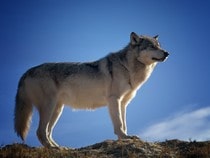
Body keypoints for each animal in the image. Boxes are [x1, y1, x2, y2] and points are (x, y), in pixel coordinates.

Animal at [13, 32, 169, 148]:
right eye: (151, 47)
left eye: (159, 46)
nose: (167, 53)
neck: (127, 67)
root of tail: (26, 72)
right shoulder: (114, 100)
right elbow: (119, 123)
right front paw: (124, 137)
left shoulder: (123, 103)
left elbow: (124, 123)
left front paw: (125, 137)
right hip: (49, 107)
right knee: (40, 132)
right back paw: (53, 148)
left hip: (57, 110)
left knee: (47, 132)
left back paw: (59, 148)